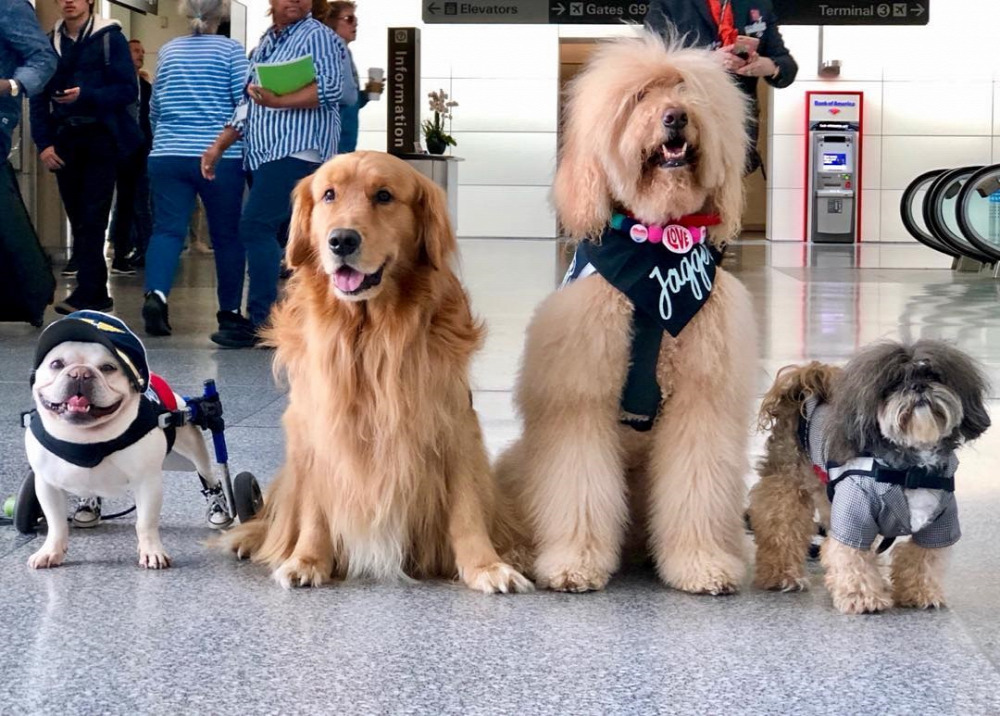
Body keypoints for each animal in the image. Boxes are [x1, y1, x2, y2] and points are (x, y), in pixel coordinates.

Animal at [219, 151, 532, 592]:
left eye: (384, 196)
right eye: (328, 194)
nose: (341, 240)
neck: (368, 333)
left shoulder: (453, 424)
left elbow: (467, 507)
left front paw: (486, 566)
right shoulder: (316, 429)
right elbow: (314, 508)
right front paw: (308, 560)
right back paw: (251, 538)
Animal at [496, 33, 760, 592]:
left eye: (687, 91)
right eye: (640, 97)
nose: (676, 117)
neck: (655, 241)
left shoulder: (700, 399)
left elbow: (696, 484)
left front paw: (701, 563)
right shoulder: (582, 399)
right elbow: (578, 485)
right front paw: (574, 562)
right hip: (521, 461)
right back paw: (520, 551)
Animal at [752, 342, 992, 616]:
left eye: (933, 375)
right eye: (895, 382)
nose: (918, 386)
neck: (911, 470)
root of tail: (804, 389)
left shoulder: (940, 523)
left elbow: (923, 557)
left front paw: (920, 592)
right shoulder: (855, 515)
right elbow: (850, 554)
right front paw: (863, 597)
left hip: (828, 495)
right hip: (787, 488)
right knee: (781, 529)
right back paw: (782, 575)